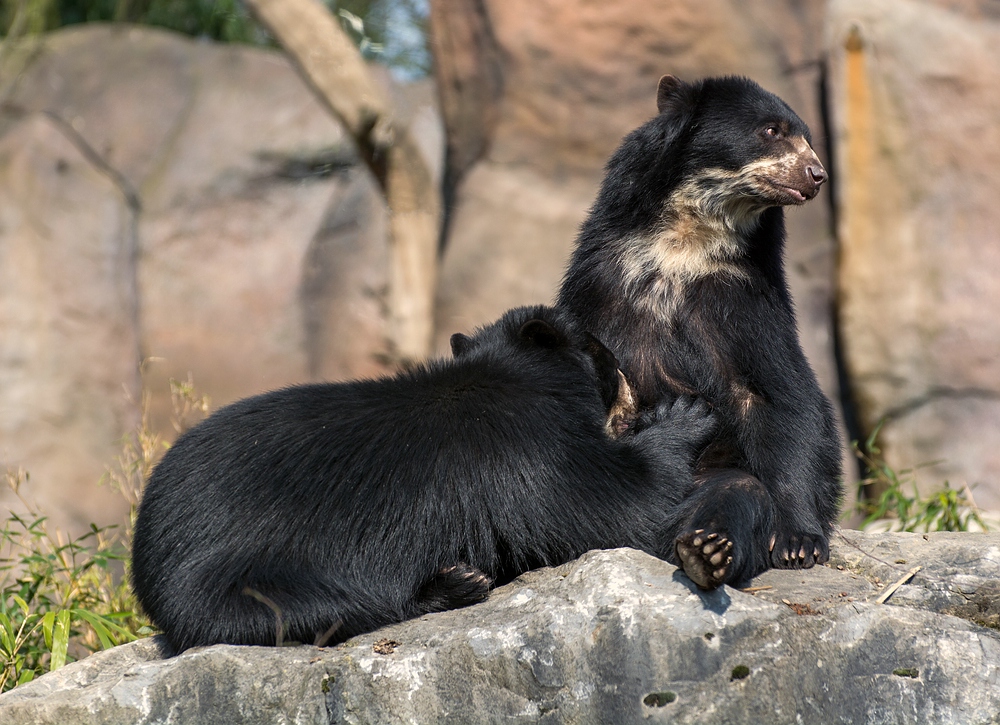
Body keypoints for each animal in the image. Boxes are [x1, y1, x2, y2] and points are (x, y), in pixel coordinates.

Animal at [131, 302, 720, 648]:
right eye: (608, 354)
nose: (632, 390)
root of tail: (146, 565)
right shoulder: (525, 449)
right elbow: (612, 508)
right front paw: (687, 415)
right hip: (242, 578)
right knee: (334, 608)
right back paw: (456, 583)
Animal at [560, 75, 840, 588]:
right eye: (771, 131)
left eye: (808, 137)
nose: (817, 175)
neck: (686, 241)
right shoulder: (599, 280)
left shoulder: (745, 296)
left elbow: (782, 395)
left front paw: (799, 543)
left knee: (736, 489)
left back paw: (704, 551)